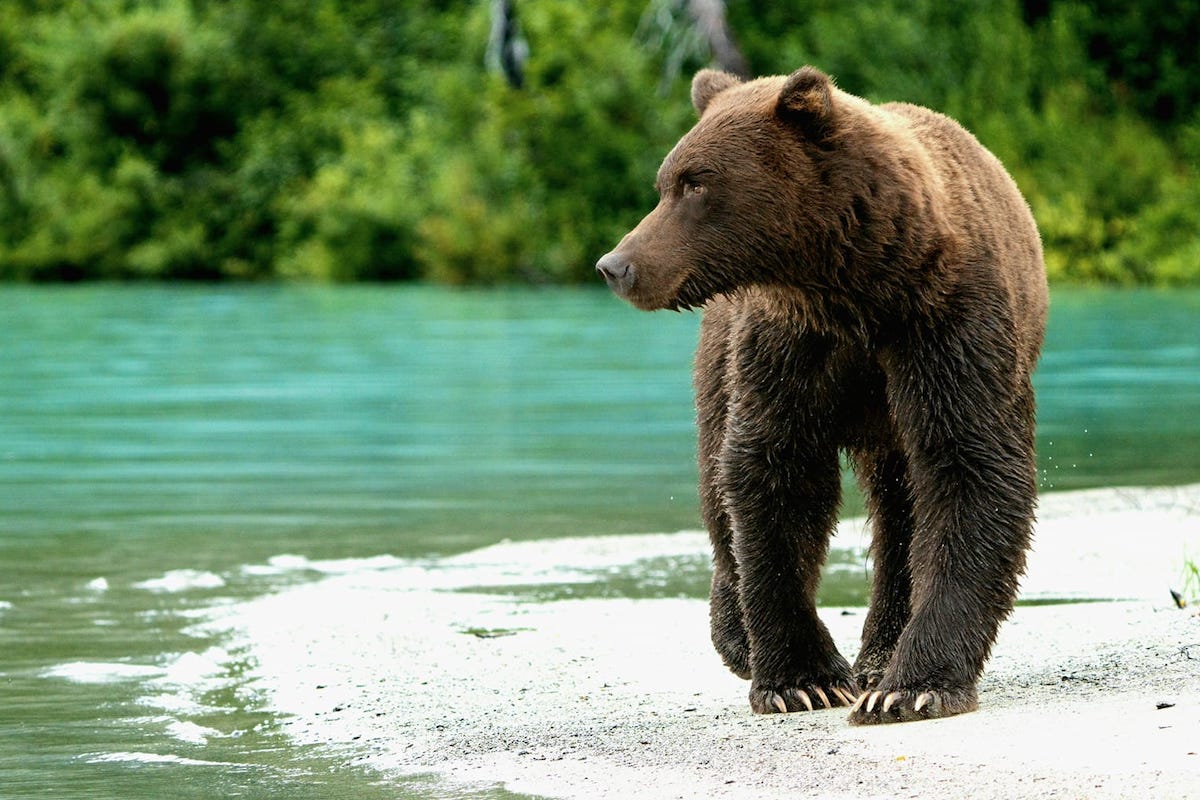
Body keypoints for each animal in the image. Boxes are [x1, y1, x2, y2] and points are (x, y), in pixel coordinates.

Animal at [595, 67, 1046, 724]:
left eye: (695, 183)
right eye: (665, 182)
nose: (616, 265)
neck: (857, 286)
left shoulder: (948, 327)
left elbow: (972, 466)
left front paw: (911, 687)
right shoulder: (790, 342)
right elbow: (775, 474)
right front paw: (800, 679)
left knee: (902, 511)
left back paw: (878, 657)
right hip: (718, 363)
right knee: (717, 483)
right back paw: (737, 636)